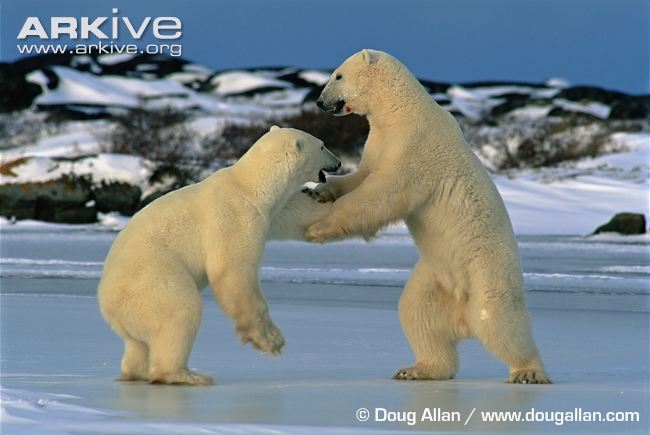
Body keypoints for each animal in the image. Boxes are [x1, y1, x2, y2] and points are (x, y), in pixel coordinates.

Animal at [98, 126, 340, 385]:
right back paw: (187, 375)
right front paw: (271, 340)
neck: (252, 186)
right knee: (181, 311)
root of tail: (107, 304)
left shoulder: (273, 211)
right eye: (323, 145)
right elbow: (232, 270)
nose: (338, 162)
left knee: (137, 344)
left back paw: (138, 372)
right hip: (152, 281)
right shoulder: (234, 216)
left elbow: (300, 215)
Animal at [306, 49, 550, 384]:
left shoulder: (415, 148)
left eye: (338, 75)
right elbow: (363, 176)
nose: (320, 102)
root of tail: (463, 318)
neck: (401, 111)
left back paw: (528, 372)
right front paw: (320, 190)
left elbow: (381, 193)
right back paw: (417, 369)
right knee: (417, 312)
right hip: (438, 278)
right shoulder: (379, 141)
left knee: (499, 322)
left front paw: (319, 227)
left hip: (485, 274)